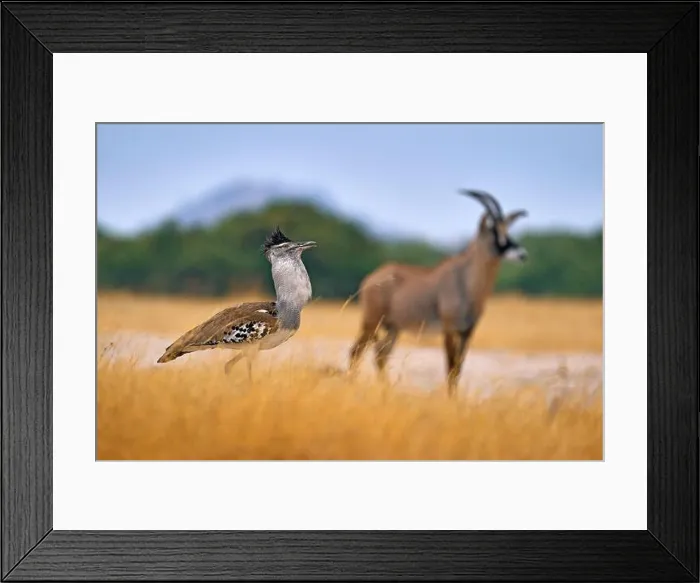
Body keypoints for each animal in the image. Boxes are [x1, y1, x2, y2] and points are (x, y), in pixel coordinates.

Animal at [348, 189, 528, 397]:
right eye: (494, 232)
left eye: (507, 231)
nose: (522, 254)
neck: (466, 280)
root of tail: (371, 279)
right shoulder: (448, 329)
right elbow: (450, 368)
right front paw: (451, 400)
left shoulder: (467, 332)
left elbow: (458, 369)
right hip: (371, 322)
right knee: (356, 351)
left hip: (393, 328)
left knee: (380, 355)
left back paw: (386, 390)